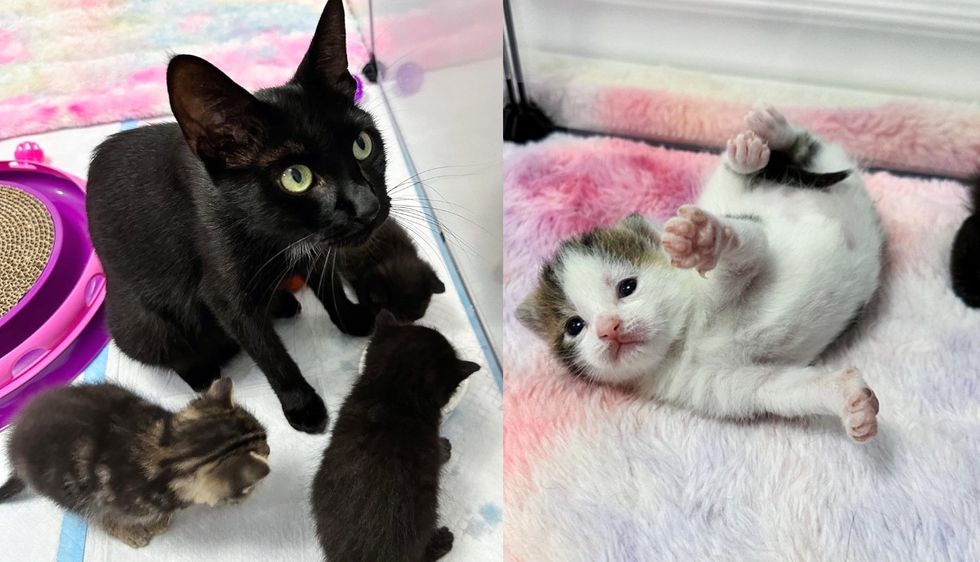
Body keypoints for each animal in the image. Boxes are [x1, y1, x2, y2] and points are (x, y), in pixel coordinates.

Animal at [0, 378, 268, 544]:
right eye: (264, 446)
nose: (267, 447)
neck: (167, 452)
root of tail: (14, 445)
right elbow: (110, 517)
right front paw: (148, 526)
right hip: (67, 492)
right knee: (89, 514)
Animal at [86, 0, 386, 430]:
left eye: (362, 145)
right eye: (296, 177)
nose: (367, 206)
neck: (283, 236)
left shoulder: (315, 246)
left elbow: (327, 286)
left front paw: (351, 319)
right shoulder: (224, 292)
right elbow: (268, 352)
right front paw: (301, 404)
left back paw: (282, 303)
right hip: (141, 324)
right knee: (171, 348)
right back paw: (202, 369)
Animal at [516, 105, 884, 442]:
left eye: (627, 287)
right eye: (575, 326)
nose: (609, 327)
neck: (685, 339)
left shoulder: (750, 238)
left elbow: (751, 247)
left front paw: (704, 238)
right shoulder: (724, 382)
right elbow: (783, 387)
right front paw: (849, 401)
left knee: (802, 147)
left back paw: (763, 137)